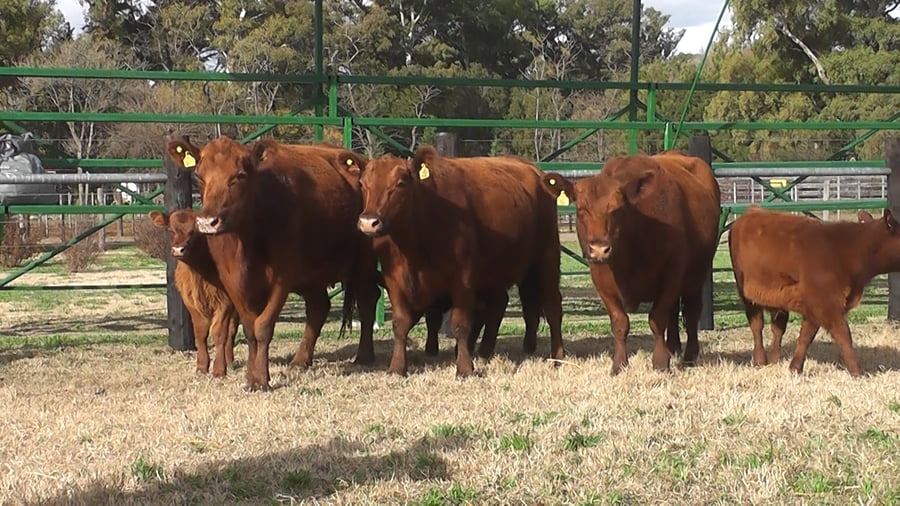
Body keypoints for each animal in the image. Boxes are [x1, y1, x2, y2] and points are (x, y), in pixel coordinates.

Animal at [149, 209, 239, 377]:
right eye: (171, 230)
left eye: (195, 231)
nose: (178, 250)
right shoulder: (191, 302)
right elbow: (200, 332)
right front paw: (202, 367)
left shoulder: (224, 302)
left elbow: (219, 333)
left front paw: (219, 369)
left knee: (231, 332)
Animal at [166, 136, 380, 391]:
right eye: (199, 176)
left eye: (240, 175)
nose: (208, 222)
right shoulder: (233, 284)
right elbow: (250, 330)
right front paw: (251, 376)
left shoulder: (281, 280)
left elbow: (263, 327)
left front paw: (261, 379)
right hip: (311, 276)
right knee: (319, 307)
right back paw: (300, 360)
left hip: (364, 263)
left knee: (367, 301)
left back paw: (364, 356)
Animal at [352, 146, 564, 377]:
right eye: (363, 184)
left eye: (400, 184)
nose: (368, 222)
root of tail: (532, 169)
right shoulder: (394, 280)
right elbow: (400, 323)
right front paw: (397, 367)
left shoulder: (463, 279)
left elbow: (460, 325)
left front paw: (464, 368)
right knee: (503, 304)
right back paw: (488, 351)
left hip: (547, 257)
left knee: (552, 306)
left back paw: (558, 357)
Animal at [541, 152, 721, 375]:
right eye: (581, 210)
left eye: (617, 209)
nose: (600, 249)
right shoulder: (601, 279)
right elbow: (620, 322)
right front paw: (619, 364)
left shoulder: (672, 273)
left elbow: (657, 319)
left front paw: (660, 363)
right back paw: (672, 347)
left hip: (697, 274)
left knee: (692, 310)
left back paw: (688, 356)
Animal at [728, 207, 900, 376]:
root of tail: (752, 210)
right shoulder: (826, 303)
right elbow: (843, 335)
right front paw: (857, 372)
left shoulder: (815, 305)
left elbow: (806, 336)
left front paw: (795, 368)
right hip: (746, 292)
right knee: (757, 325)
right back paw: (759, 360)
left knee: (778, 327)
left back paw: (774, 361)